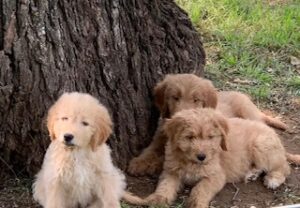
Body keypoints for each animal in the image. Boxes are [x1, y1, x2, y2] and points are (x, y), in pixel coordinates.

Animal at [125, 109, 300, 208]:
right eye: (190, 137)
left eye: (210, 137)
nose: (202, 156)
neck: (191, 162)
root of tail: (273, 135)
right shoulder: (171, 171)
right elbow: (165, 185)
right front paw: (158, 199)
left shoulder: (216, 176)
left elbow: (201, 188)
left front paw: (197, 203)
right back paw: (252, 173)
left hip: (261, 145)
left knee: (284, 167)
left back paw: (273, 179)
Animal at [127, 73, 288, 176]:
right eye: (175, 97)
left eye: (196, 100)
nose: (182, 115)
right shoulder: (159, 136)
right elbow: (150, 149)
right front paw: (139, 162)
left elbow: (165, 158)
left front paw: (151, 165)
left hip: (248, 113)